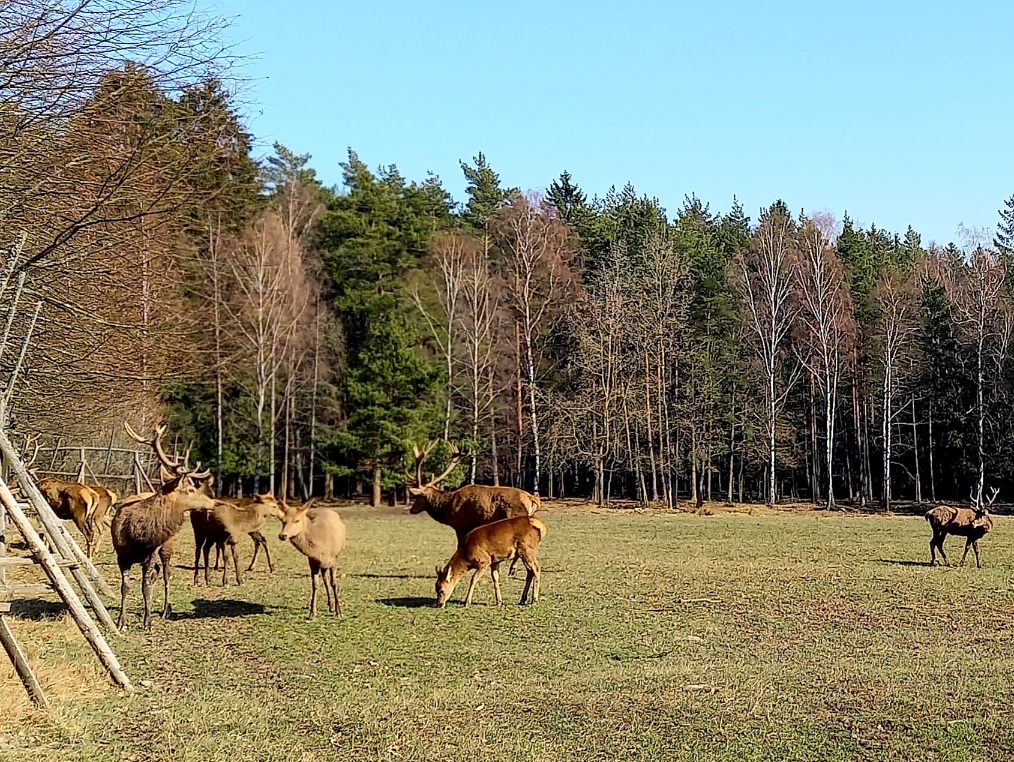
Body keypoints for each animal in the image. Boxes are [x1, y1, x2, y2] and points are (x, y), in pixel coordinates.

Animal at [112, 421, 215, 630]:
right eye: (190, 489)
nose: (213, 502)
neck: (137, 536)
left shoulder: (150, 554)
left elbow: (145, 587)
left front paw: (147, 622)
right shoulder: (121, 555)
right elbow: (125, 587)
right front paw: (121, 622)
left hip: (167, 547)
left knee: (166, 574)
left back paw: (166, 609)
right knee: (157, 574)